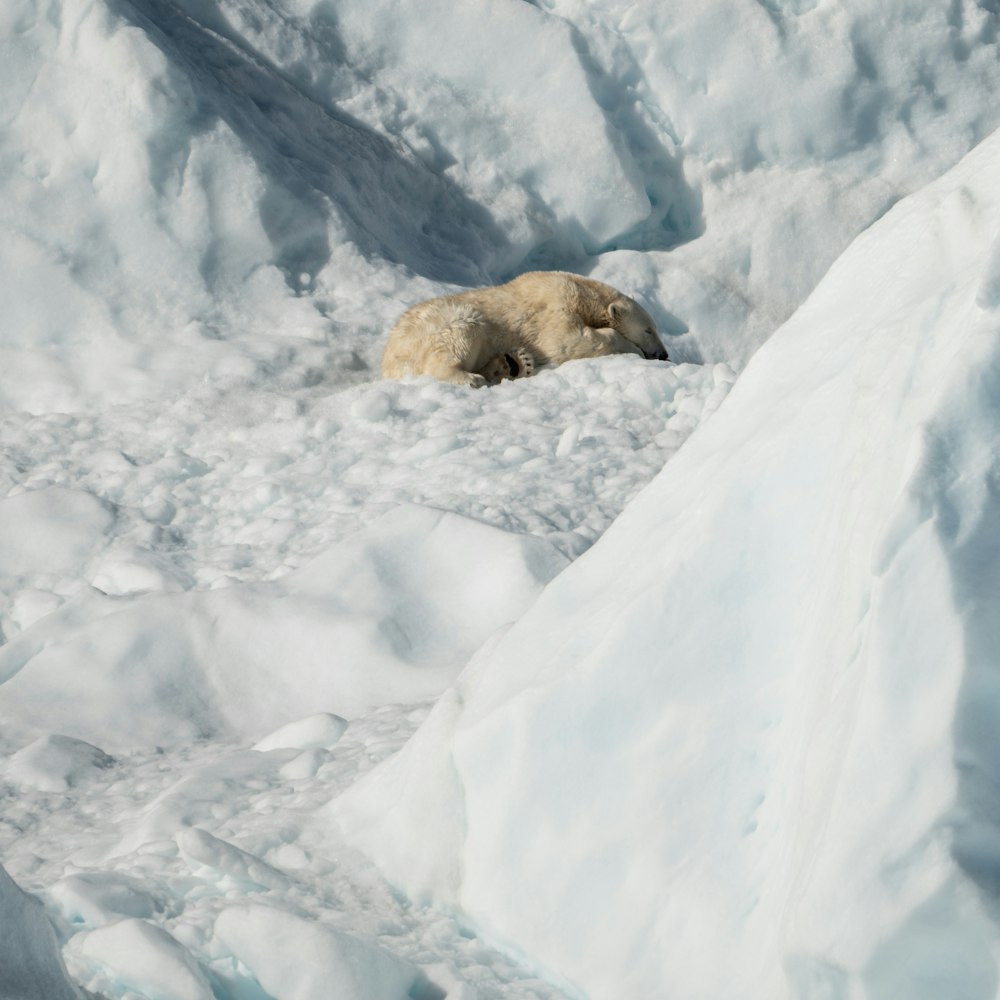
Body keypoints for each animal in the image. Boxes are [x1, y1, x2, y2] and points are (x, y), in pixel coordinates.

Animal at [378, 272, 668, 388]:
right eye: (649, 330)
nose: (664, 355)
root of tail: (387, 361)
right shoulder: (555, 305)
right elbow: (566, 341)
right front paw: (630, 348)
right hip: (441, 323)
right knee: (456, 338)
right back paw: (471, 378)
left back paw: (511, 365)